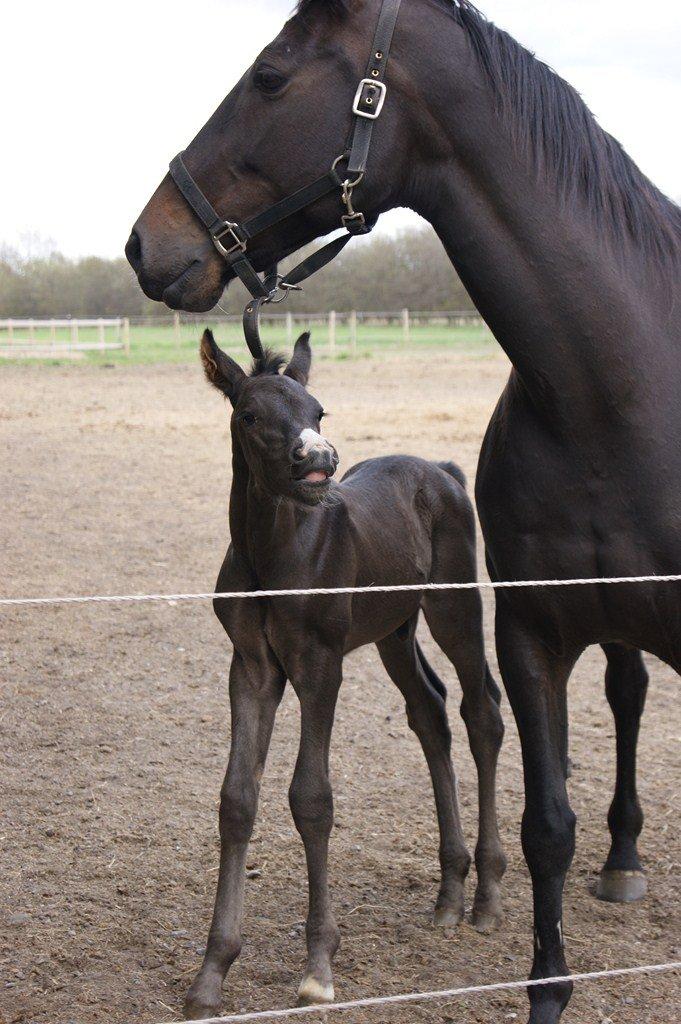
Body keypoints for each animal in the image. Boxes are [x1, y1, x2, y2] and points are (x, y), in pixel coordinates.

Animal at [186, 331, 503, 1019]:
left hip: (453, 606)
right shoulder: (251, 667)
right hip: (394, 629)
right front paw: (212, 973)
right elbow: (237, 798)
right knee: (430, 711)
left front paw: (318, 969)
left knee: (482, 711)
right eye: (249, 415)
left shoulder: (319, 665)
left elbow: (311, 797)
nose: (318, 462)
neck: (274, 558)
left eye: (318, 410)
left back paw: (488, 894)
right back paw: (449, 891)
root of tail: (441, 470)